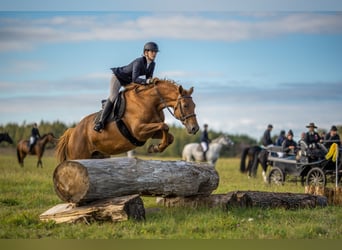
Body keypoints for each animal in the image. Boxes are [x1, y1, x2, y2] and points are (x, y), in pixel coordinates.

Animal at [55, 79, 199, 163]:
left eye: (194, 105)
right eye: (185, 105)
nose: (195, 128)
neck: (151, 103)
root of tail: (73, 131)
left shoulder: (150, 132)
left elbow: (169, 135)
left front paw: (155, 147)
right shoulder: (138, 131)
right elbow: (164, 126)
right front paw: (156, 147)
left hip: (99, 155)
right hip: (79, 156)